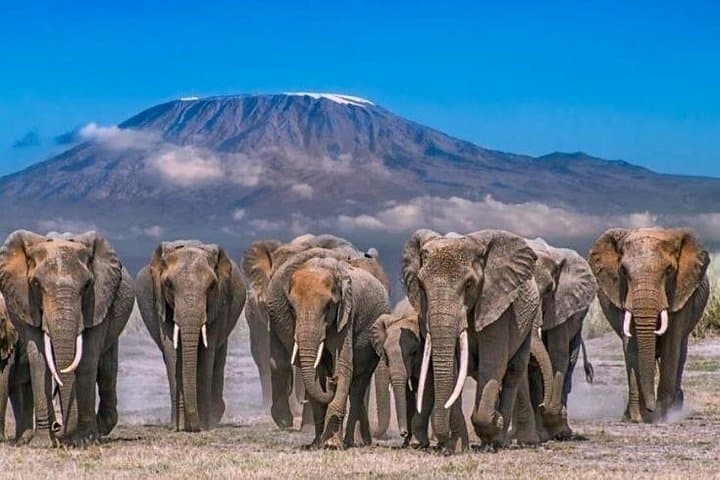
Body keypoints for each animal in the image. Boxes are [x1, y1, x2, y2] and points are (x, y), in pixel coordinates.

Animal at [0, 230, 134, 447]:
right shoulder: (25, 303)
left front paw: (85, 441)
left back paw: (98, 430)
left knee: (106, 369)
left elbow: (88, 358)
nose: (58, 427)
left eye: (87, 285)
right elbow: (39, 359)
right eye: (36, 284)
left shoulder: (98, 300)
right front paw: (43, 444)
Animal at [136, 241, 246, 432]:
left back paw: (216, 413)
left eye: (211, 287)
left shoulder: (218, 303)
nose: (193, 427)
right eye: (169, 285)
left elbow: (207, 354)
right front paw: (179, 427)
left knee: (218, 356)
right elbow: (171, 352)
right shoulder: (161, 302)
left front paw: (203, 425)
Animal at [401, 229, 540, 453]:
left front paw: (494, 423)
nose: (442, 443)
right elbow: (454, 368)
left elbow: (493, 363)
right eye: (421, 286)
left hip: (529, 322)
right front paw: (458, 448)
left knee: (513, 371)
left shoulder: (496, 303)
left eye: (468, 285)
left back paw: (497, 441)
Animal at [512, 238, 597, 443]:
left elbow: (558, 353)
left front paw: (550, 420)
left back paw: (561, 431)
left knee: (569, 360)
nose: (547, 406)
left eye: (549, 290)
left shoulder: (561, 303)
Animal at [589, 228, 709, 422]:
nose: (651, 409)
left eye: (669, 271)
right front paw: (637, 417)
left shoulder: (679, 292)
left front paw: (662, 417)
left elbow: (671, 346)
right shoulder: (623, 295)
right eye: (623, 271)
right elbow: (631, 346)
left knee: (680, 354)